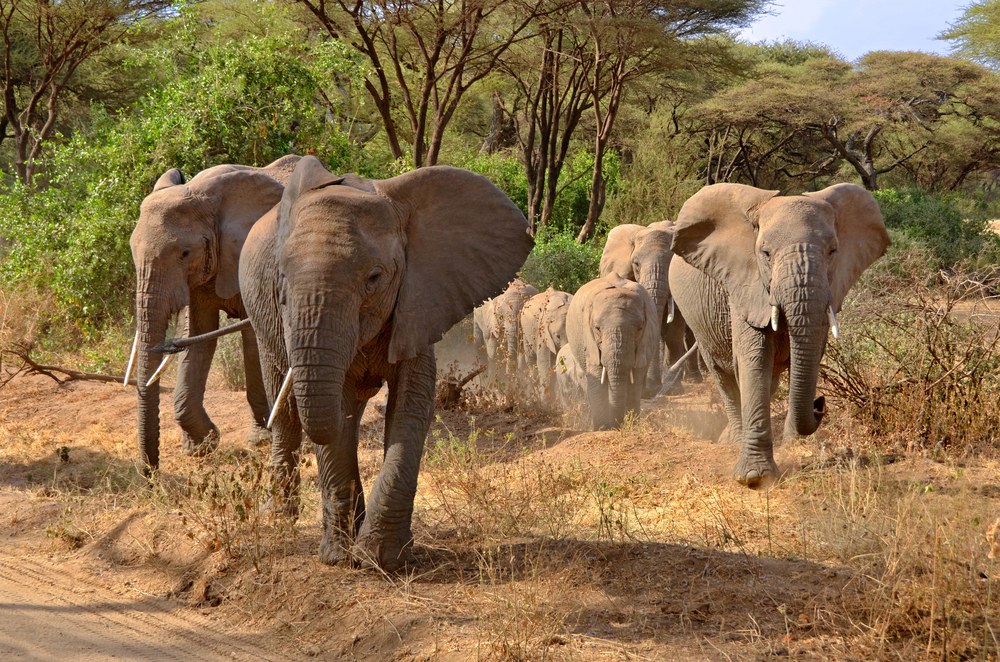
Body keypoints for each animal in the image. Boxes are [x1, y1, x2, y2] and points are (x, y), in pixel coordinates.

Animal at [128, 154, 301, 473]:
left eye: (184, 253)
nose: (150, 475)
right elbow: (197, 334)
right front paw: (201, 445)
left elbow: (252, 334)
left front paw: (260, 438)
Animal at [238, 156, 533, 571]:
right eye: (280, 282)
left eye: (375, 277)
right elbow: (337, 412)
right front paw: (339, 557)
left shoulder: (420, 299)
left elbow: (411, 405)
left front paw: (382, 558)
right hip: (261, 324)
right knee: (287, 412)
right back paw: (279, 517)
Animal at [565, 273, 660, 430]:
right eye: (597, 328)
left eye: (640, 328)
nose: (617, 425)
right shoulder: (590, 340)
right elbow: (597, 376)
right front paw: (602, 428)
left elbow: (635, 380)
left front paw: (631, 425)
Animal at [600, 220, 698, 396]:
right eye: (636, 264)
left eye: (672, 265)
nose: (650, 389)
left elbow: (673, 330)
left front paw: (674, 389)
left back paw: (694, 378)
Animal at [668, 182, 889, 487]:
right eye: (766, 254)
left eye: (833, 251)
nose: (819, 403)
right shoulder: (744, 287)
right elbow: (754, 359)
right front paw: (754, 478)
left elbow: (810, 355)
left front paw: (794, 444)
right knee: (722, 374)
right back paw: (732, 439)